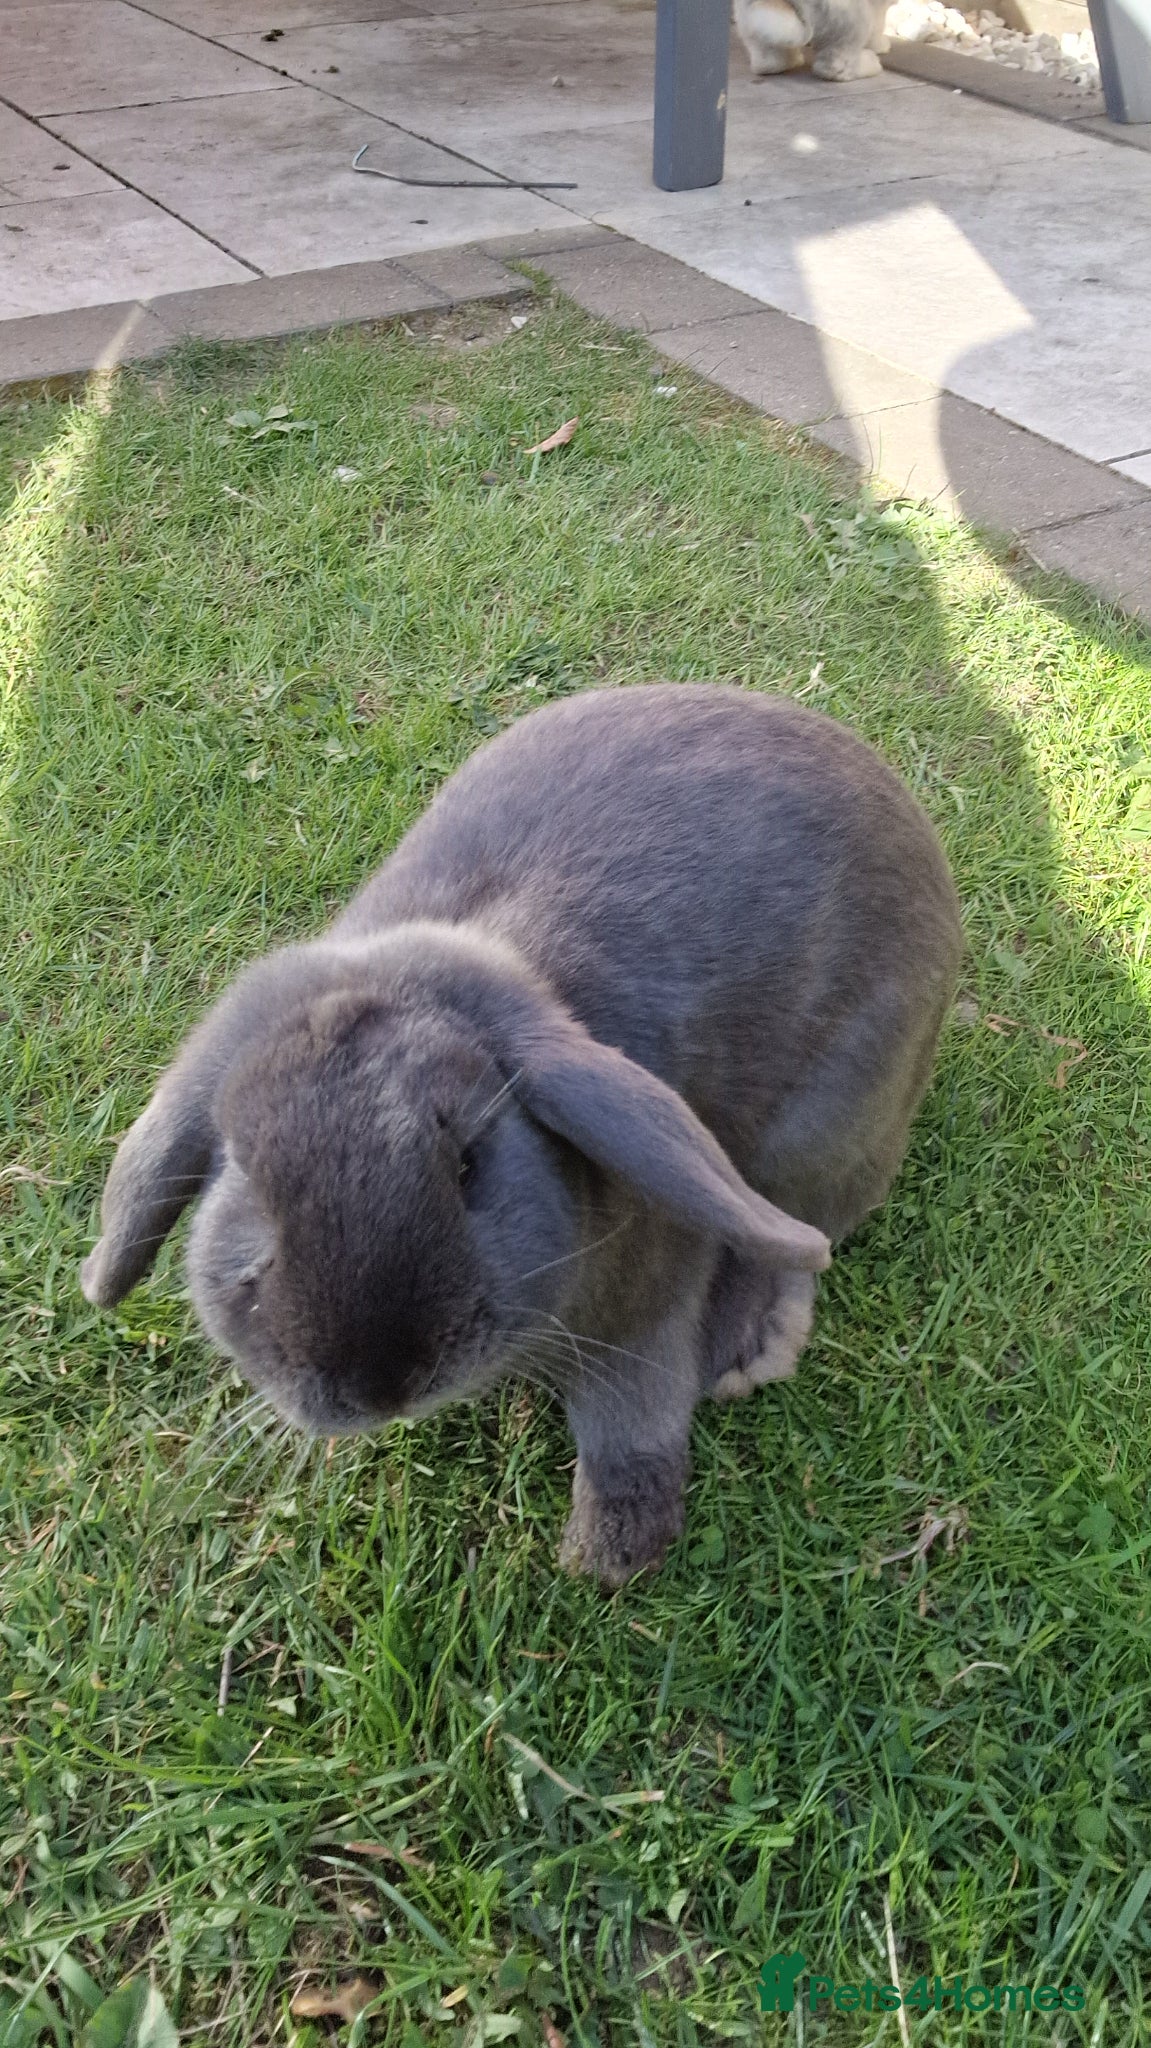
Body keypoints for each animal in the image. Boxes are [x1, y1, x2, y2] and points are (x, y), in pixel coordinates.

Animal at [81, 683, 962, 1588]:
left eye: (469, 1164)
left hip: (825, 1131)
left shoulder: (642, 1315)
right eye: (247, 1182)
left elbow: (631, 1417)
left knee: (799, 1232)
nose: (384, 1383)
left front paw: (609, 1554)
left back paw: (743, 1347)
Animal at [734, 0, 890, 80]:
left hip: (747, 18)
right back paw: (871, 64)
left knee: (767, 61)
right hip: (855, 20)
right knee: (833, 67)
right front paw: (881, 46)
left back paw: (793, 60)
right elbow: (880, 22)